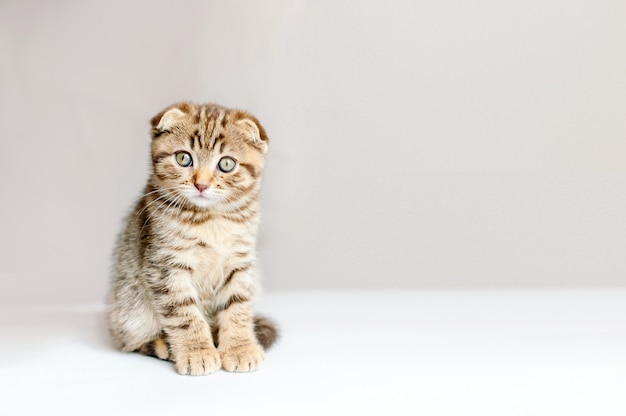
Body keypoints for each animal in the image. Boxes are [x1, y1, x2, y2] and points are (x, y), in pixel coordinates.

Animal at [108, 102, 278, 376]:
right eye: (183, 158)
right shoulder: (165, 265)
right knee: (129, 340)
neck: (210, 219)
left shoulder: (240, 262)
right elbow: (184, 314)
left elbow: (238, 306)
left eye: (226, 164)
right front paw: (197, 352)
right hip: (129, 307)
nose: (201, 184)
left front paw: (240, 347)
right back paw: (162, 344)